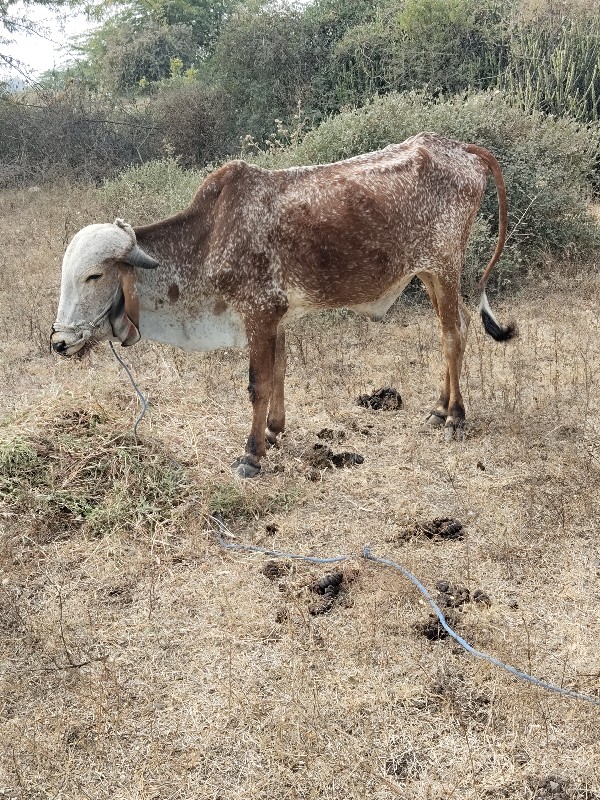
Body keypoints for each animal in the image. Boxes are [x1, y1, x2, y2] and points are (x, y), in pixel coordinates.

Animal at [51, 134, 516, 478]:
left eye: (93, 276)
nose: (59, 343)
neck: (210, 237)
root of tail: (458, 147)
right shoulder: (275, 318)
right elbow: (279, 371)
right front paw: (274, 432)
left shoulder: (258, 312)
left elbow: (258, 383)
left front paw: (252, 453)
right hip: (428, 273)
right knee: (449, 333)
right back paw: (439, 408)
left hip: (445, 265)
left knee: (454, 334)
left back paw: (455, 416)